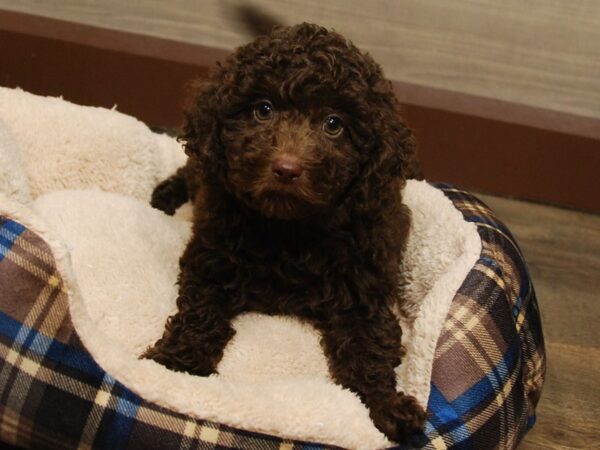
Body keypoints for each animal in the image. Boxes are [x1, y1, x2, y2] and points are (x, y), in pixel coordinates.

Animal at [145, 22, 426, 442]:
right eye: (263, 109)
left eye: (333, 124)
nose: (286, 168)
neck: (289, 229)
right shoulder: (211, 259)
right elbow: (200, 312)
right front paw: (173, 364)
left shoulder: (362, 290)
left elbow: (370, 350)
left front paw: (385, 407)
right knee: (191, 171)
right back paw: (163, 196)